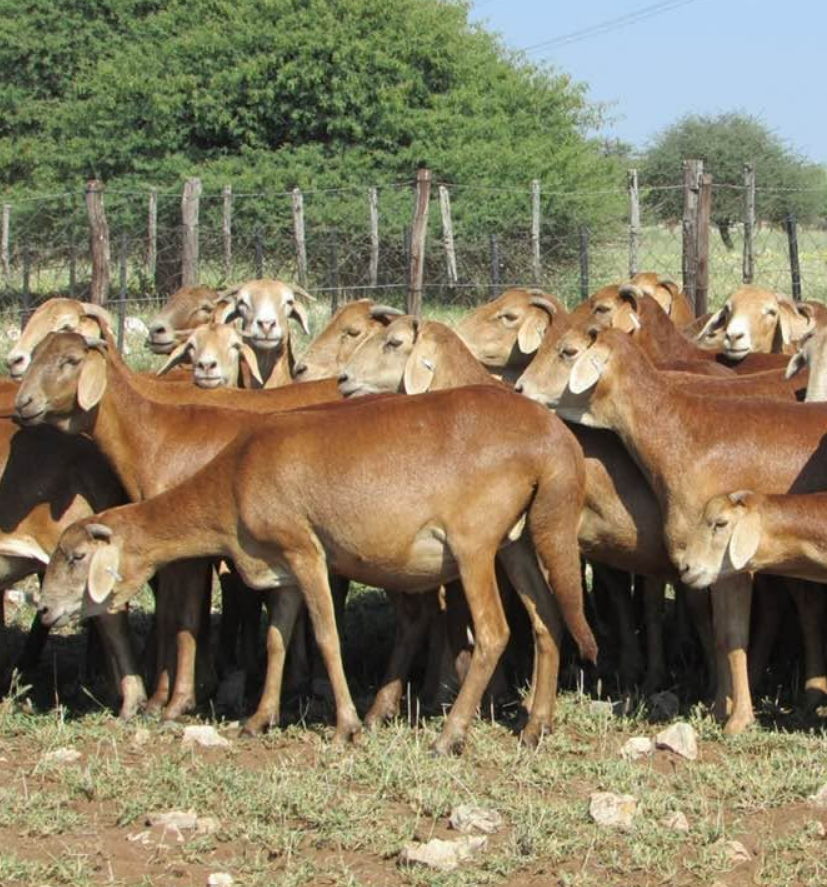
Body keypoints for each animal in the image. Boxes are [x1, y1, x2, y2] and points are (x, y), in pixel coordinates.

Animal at [34, 385, 597, 754]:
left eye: (76, 557)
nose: (43, 610)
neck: (233, 480)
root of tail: (552, 440)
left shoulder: (305, 550)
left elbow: (327, 636)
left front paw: (348, 725)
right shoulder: (280, 567)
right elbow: (277, 639)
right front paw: (259, 719)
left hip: (474, 543)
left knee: (495, 632)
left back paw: (450, 734)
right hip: (517, 540)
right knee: (547, 620)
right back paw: (535, 726)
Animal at [514, 326, 827, 734]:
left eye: (567, 352)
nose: (519, 388)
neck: (683, 434)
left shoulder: (727, 563)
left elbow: (730, 634)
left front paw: (737, 717)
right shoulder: (706, 566)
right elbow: (721, 634)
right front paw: (719, 707)